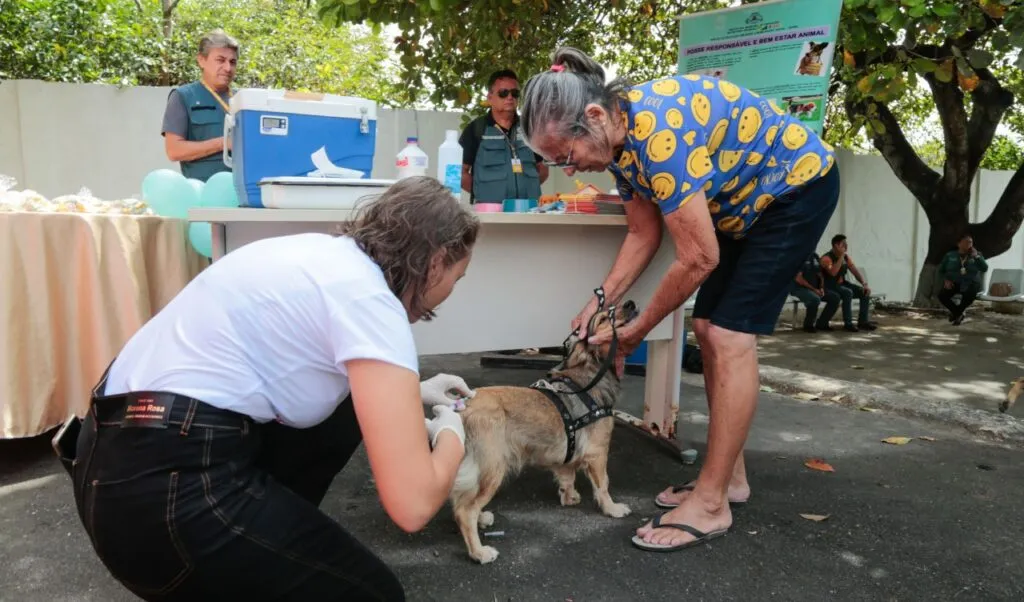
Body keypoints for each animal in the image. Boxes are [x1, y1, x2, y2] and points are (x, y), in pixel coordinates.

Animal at [450, 301, 638, 565]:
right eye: (603, 318)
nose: (630, 303)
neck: (590, 373)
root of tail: (462, 406)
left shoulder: (569, 452)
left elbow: (567, 475)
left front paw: (569, 497)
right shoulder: (597, 453)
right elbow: (603, 485)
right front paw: (612, 508)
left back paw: (481, 519)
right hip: (493, 467)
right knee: (464, 511)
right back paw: (479, 552)